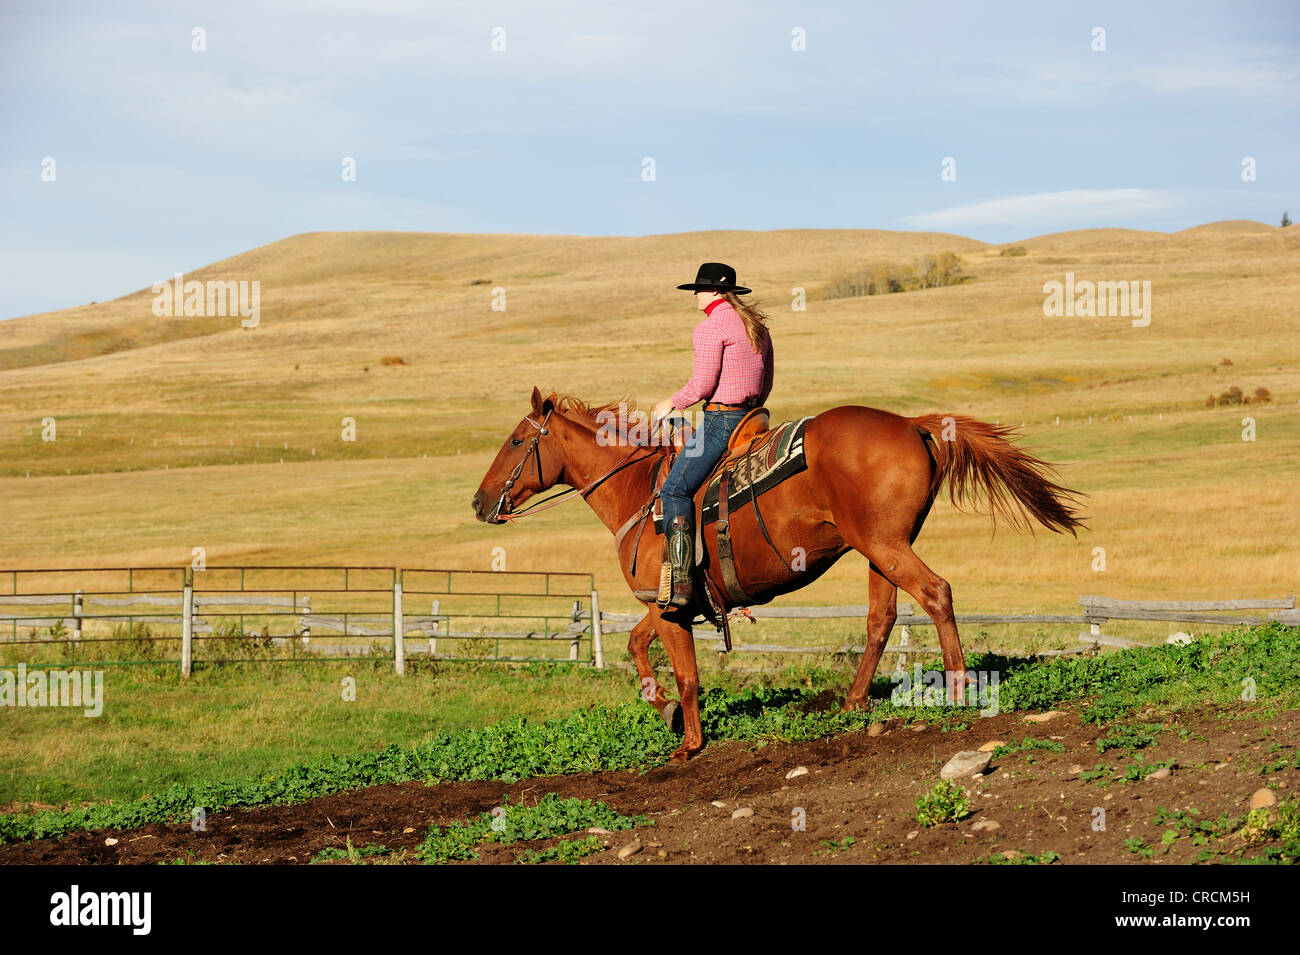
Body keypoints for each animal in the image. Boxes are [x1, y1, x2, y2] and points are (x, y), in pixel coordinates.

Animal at [473, 387, 1081, 764]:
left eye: (515, 441)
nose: (480, 502)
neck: (639, 491)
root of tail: (910, 424)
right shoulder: (665, 605)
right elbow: (636, 648)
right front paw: (665, 711)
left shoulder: (669, 608)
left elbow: (686, 675)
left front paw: (688, 742)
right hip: (880, 551)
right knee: (881, 619)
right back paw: (854, 702)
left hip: (886, 547)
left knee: (936, 594)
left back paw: (957, 688)